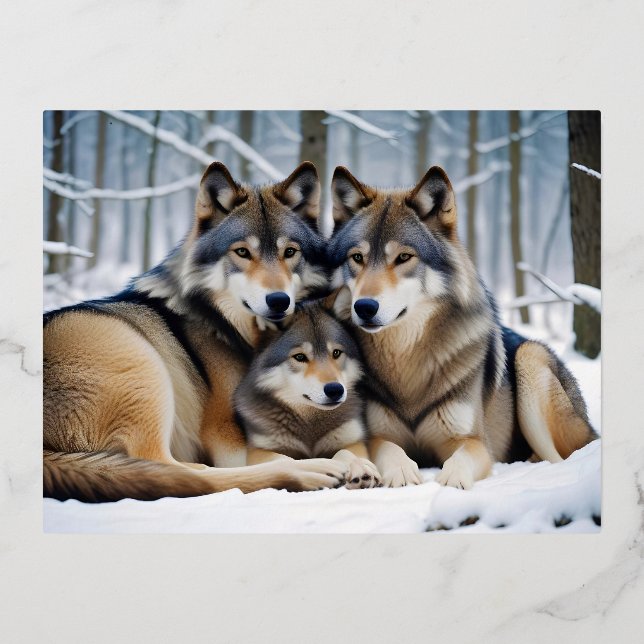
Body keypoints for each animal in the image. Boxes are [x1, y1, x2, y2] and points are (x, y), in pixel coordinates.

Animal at [43, 161, 350, 502]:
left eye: (290, 252)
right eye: (242, 252)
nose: (279, 301)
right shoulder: (226, 435)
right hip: (140, 360)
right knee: (177, 473)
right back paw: (309, 472)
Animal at [234, 300, 381, 489]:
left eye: (336, 353)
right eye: (300, 357)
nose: (335, 389)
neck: (310, 422)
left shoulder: (353, 440)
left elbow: (345, 451)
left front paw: (359, 466)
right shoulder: (258, 450)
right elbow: (284, 461)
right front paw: (316, 468)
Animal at [327, 164, 597, 489]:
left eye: (404, 257)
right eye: (357, 258)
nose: (364, 307)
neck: (407, 363)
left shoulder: (473, 441)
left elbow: (460, 462)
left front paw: (450, 483)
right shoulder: (378, 435)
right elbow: (390, 449)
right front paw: (402, 473)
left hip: (530, 358)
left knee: (558, 458)